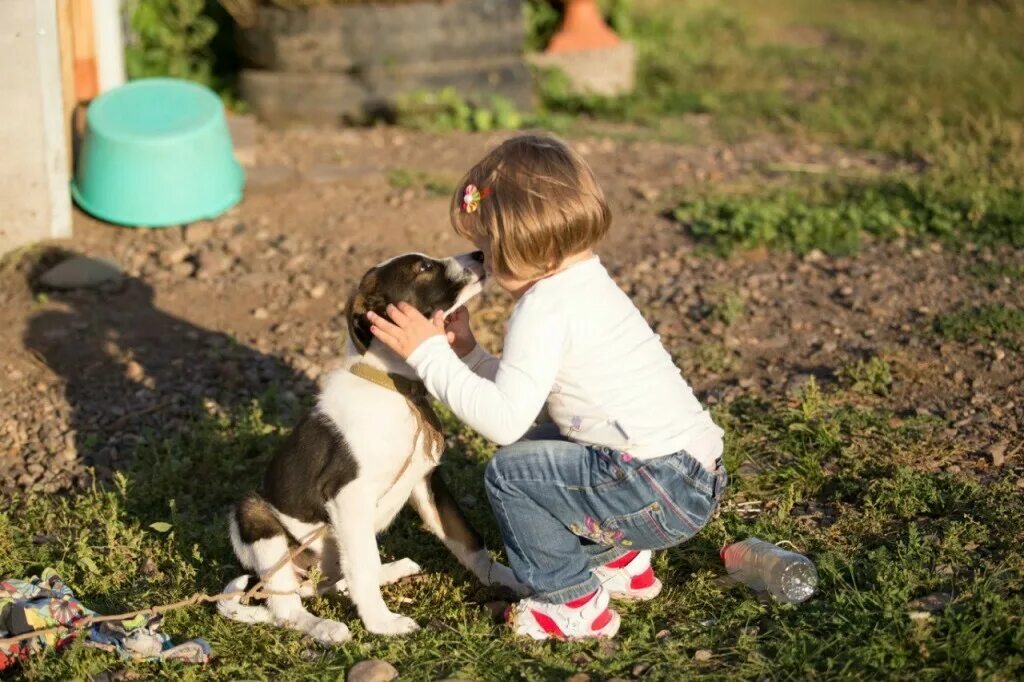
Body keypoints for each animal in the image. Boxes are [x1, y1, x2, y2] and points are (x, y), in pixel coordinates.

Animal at [214, 250, 520, 643]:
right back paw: (324, 626)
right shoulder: (348, 495)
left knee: (337, 578)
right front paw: (381, 623)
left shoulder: (426, 480)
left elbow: (466, 539)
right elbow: (363, 565)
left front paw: (508, 578)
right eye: (423, 268)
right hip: (255, 517)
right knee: (286, 606)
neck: (393, 388)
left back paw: (394, 569)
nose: (480, 254)